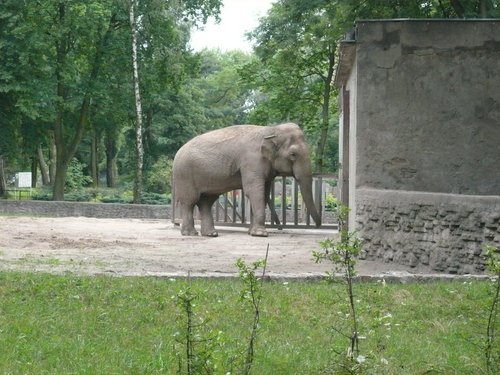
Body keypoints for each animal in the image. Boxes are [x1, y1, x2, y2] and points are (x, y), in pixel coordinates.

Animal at [172, 122, 320, 236]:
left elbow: (263, 193)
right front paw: (261, 234)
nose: (318, 225)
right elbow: (254, 191)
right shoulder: (251, 162)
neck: (270, 130)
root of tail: (178, 151)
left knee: (206, 202)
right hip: (184, 174)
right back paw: (190, 234)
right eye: (293, 154)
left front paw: (252, 232)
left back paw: (211, 234)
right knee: (190, 201)